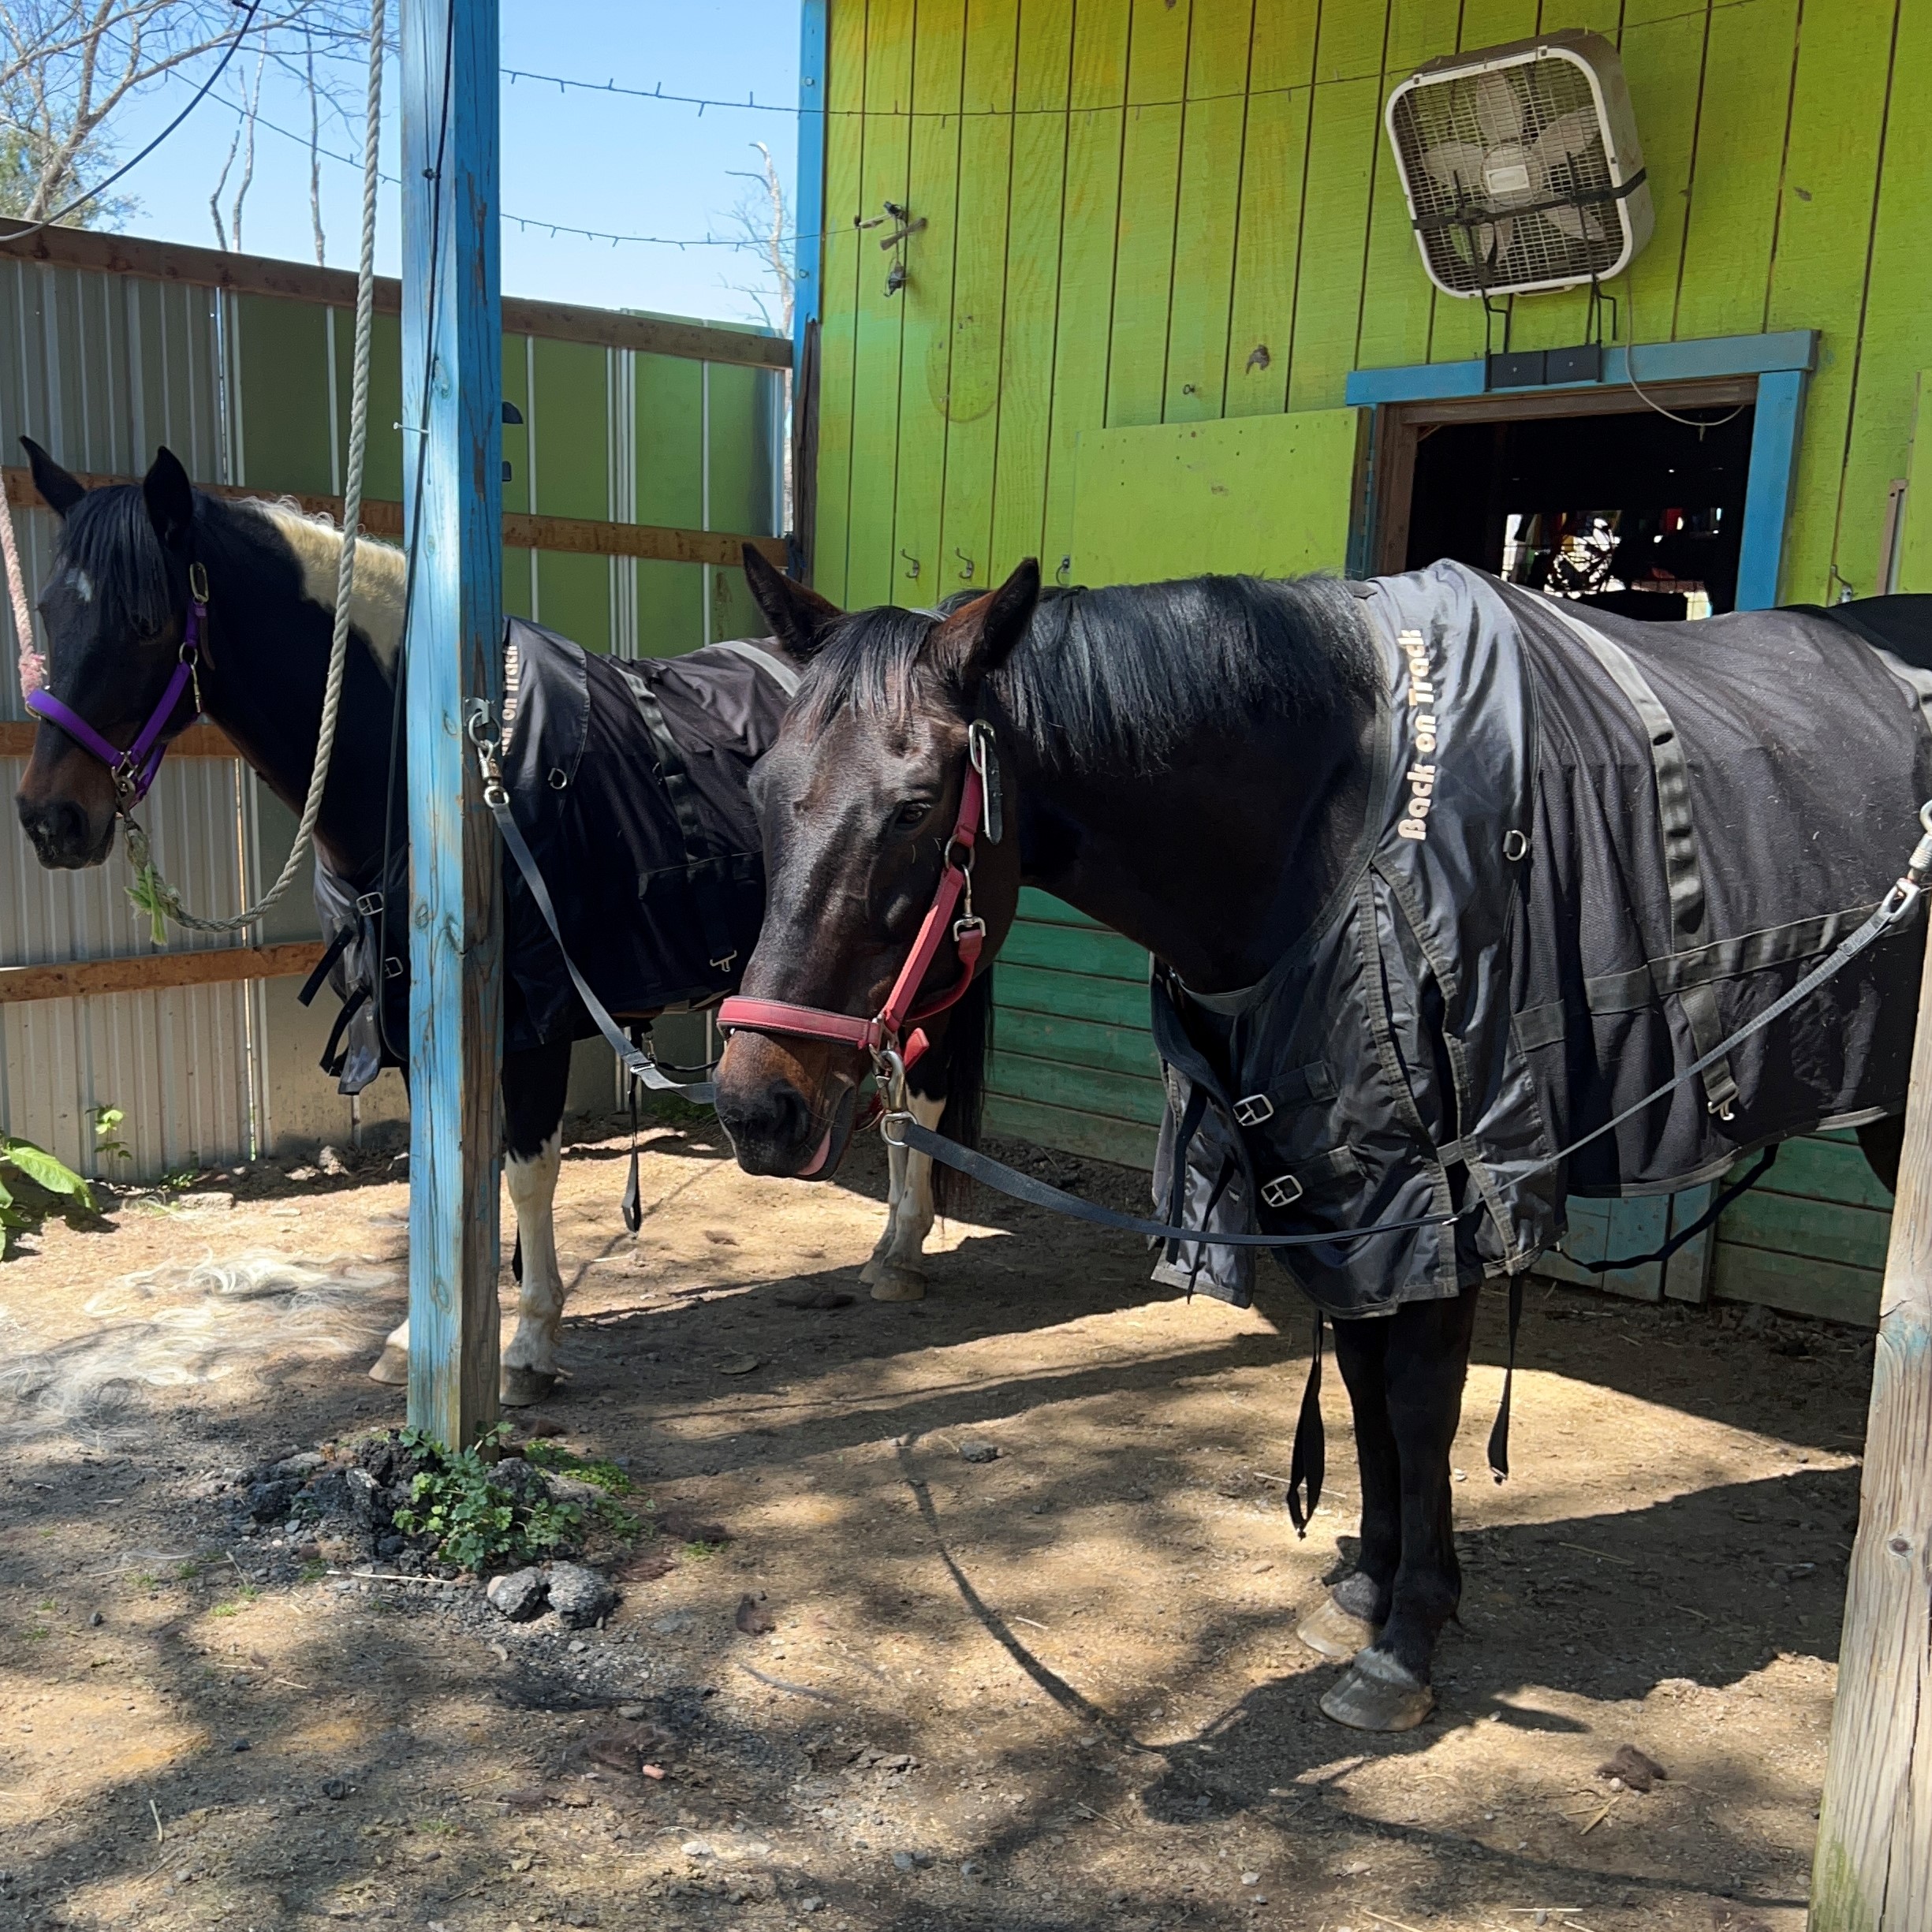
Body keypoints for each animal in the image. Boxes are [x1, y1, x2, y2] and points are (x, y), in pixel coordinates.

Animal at [11, 440, 981, 1406]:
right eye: (50, 613)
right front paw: (416, 1338)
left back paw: (898, 1252)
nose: (50, 820)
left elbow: (526, 1173)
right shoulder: (409, 1017)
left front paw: (527, 1346)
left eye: (145, 622)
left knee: (925, 1086)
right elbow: (437, 1170)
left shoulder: (535, 1021)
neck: (451, 785)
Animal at [718, 548, 1924, 1739]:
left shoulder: (1439, 1194)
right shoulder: (1335, 1179)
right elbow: (1357, 1382)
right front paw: (1369, 1588)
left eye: (915, 808)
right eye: (762, 791)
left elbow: (1416, 1400)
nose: (755, 1104)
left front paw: (1405, 1637)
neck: (1340, 819)